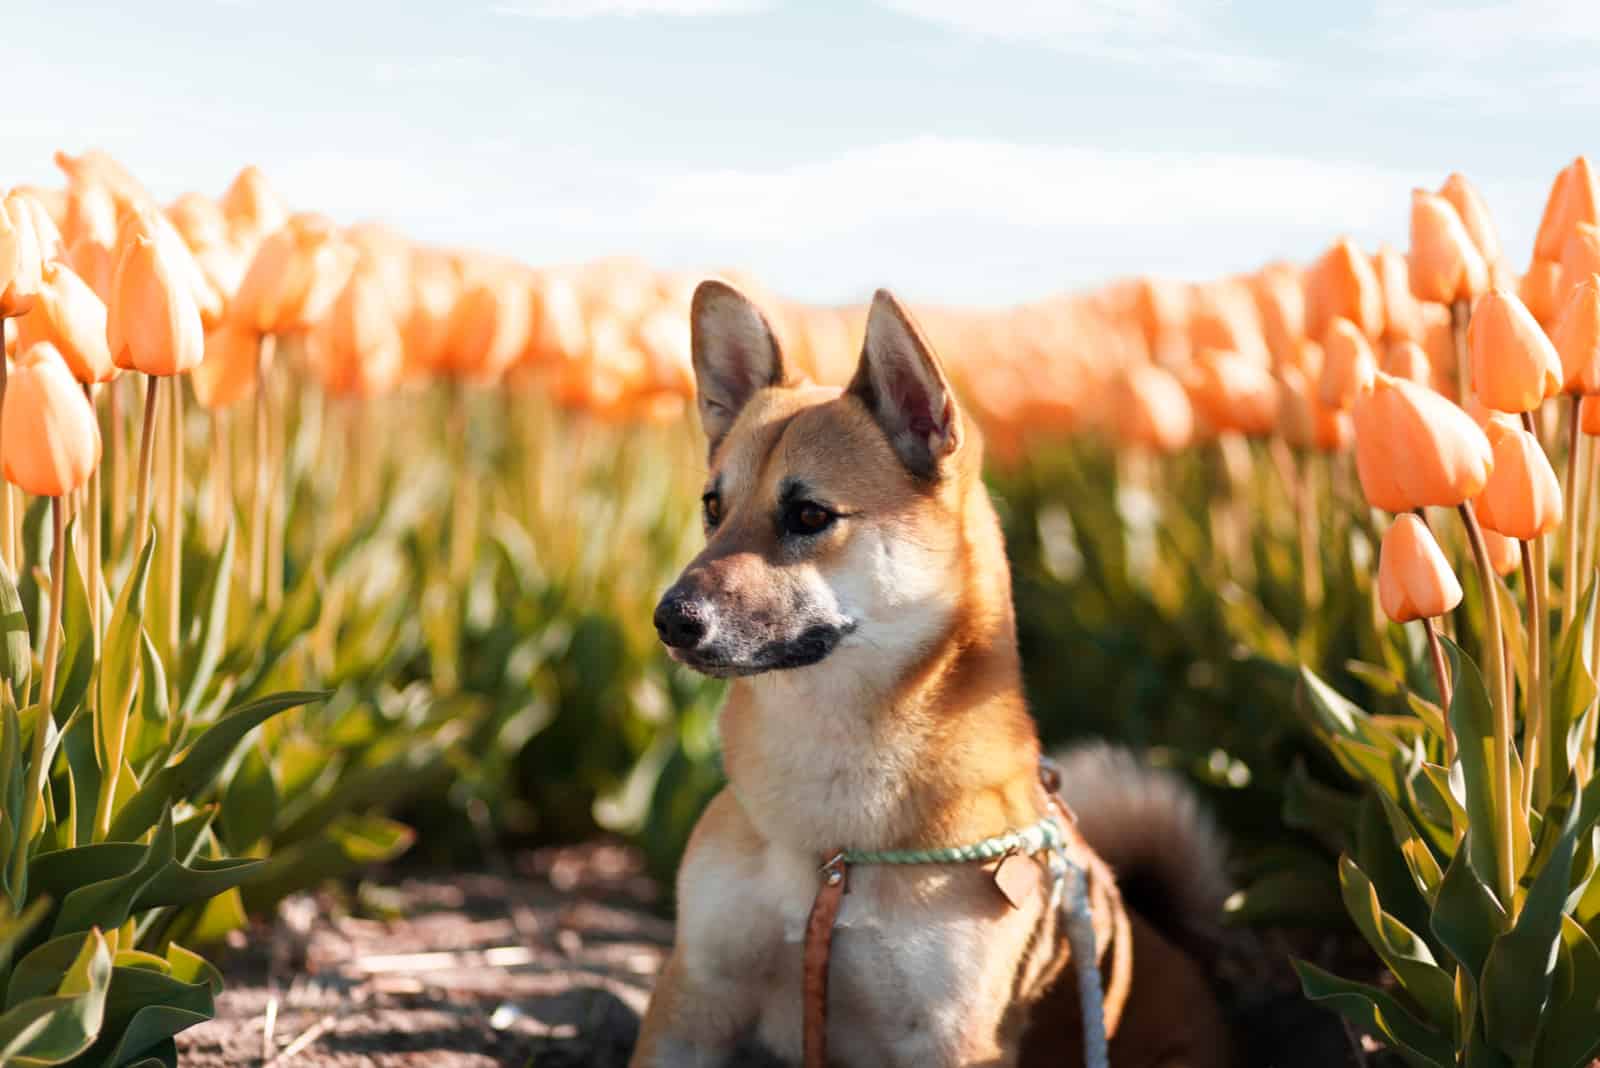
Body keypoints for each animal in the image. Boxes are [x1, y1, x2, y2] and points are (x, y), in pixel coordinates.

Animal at [630, 281, 1228, 1068]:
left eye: (809, 514)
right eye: (712, 507)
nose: (670, 620)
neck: (832, 845)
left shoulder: (951, 1040)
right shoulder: (694, 994)